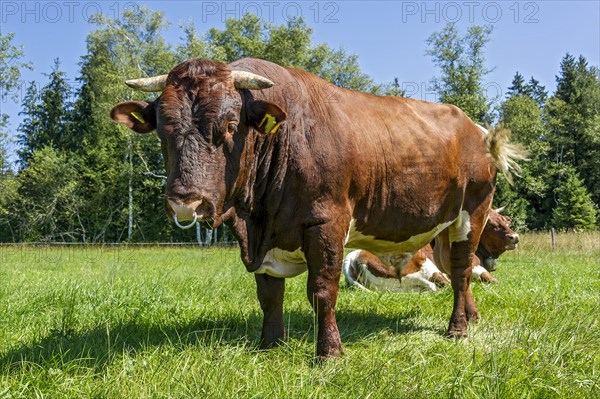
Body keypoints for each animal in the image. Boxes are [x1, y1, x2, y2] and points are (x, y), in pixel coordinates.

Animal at [342, 208, 520, 292]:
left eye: (505, 221)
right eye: (491, 224)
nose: (515, 237)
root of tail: (353, 256)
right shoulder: (475, 266)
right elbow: (493, 280)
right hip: (424, 268)